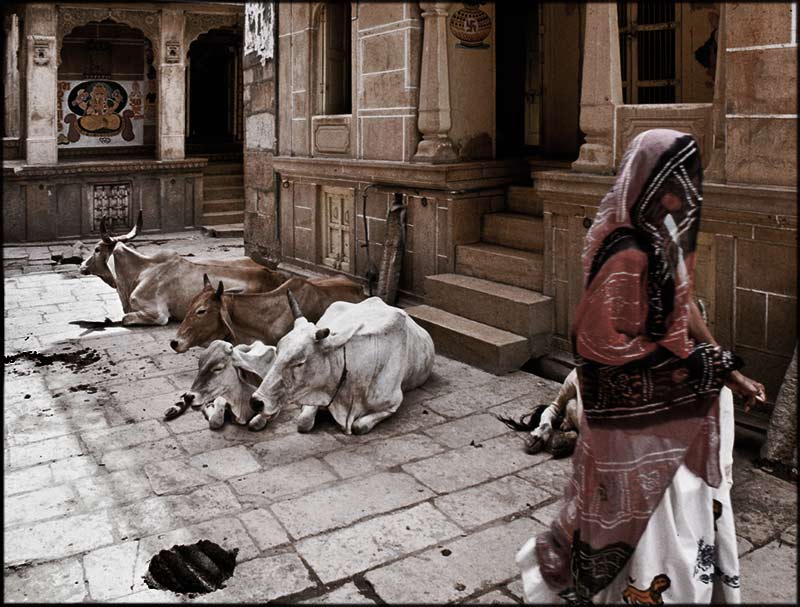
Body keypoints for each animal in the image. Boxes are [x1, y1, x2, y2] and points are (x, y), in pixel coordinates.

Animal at [252, 292, 434, 434]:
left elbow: (358, 427)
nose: (256, 402)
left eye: (299, 363)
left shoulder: (392, 405)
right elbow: (303, 421)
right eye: (278, 352)